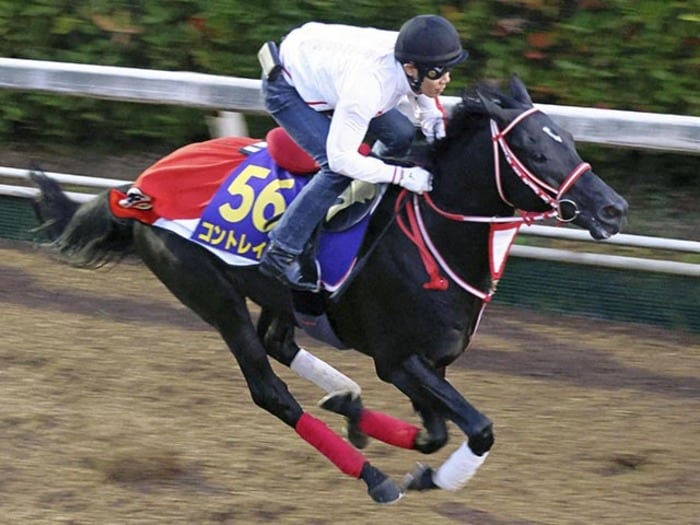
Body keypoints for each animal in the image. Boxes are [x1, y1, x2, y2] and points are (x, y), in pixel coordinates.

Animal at [30, 76, 628, 504]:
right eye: (535, 150)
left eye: (570, 141)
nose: (613, 208)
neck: (432, 235)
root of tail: (138, 189)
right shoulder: (398, 358)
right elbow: (477, 429)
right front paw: (423, 476)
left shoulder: (429, 363)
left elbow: (434, 432)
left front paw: (380, 434)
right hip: (212, 294)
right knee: (268, 388)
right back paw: (372, 475)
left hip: (281, 298)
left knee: (279, 342)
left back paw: (348, 401)